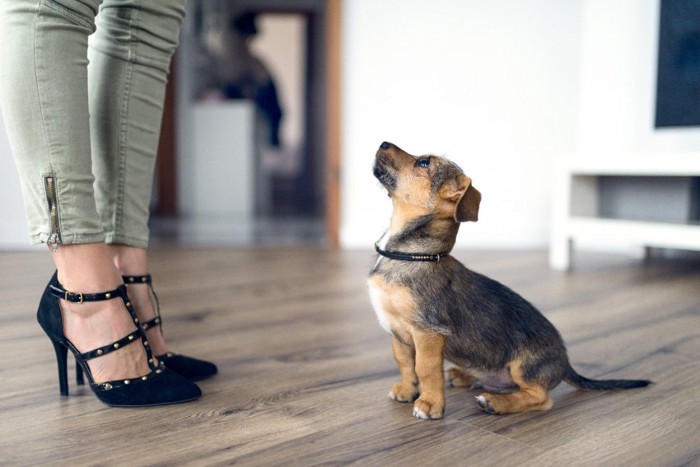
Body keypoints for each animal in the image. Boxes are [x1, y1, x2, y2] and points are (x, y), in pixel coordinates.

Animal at [370, 143, 648, 420]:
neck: (409, 255)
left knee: (541, 398)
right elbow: (405, 363)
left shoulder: (428, 332)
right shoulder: (397, 330)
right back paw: (463, 376)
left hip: (523, 367)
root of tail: (566, 364)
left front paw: (429, 404)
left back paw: (495, 402)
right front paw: (407, 391)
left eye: (424, 163)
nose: (383, 143)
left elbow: (425, 368)